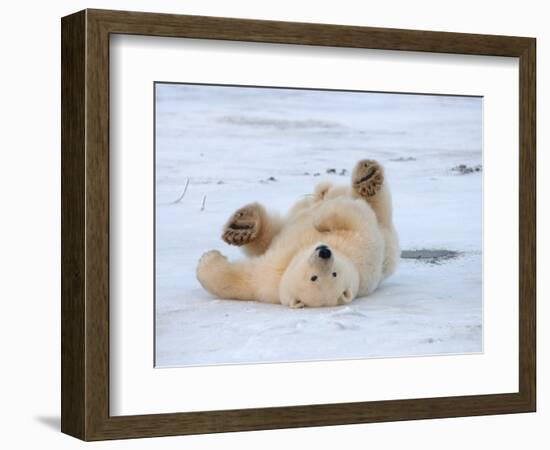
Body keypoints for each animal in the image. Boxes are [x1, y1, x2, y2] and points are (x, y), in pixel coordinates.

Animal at [196, 160, 398, 308]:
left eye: (333, 274)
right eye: (314, 277)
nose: (324, 252)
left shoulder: (363, 248)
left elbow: (355, 216)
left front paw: (207, 259)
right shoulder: (270, 277)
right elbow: (242, 280)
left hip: (386, 232)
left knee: (375, 206)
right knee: (272, 232)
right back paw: (242, 227)